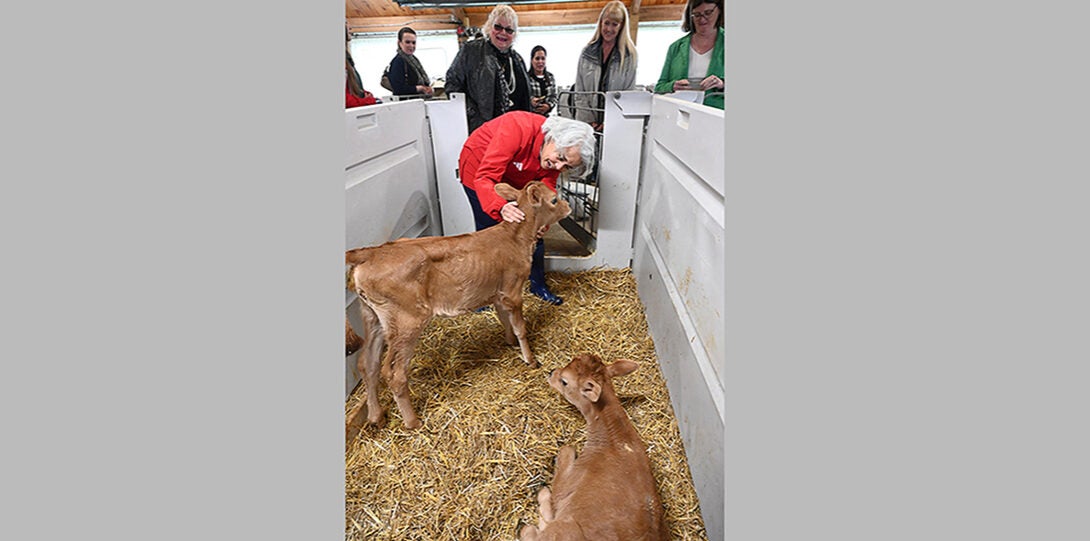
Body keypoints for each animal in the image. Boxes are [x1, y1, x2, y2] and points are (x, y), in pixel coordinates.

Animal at [346, 182, 571, 436]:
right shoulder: (513, 291)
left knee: (367, 364)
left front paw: (509, 341)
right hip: (407, 321)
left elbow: (504, 319)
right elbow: (521, 328)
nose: (568, 206)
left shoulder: (497, 293)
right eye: (554, 200)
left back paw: (376, 416)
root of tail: (373, 251)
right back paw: (413, 422)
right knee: (394, 373)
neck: (515, 238)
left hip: (372, 316)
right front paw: (530, 359)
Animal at [516, 355, 662, 541]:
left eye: (564, 381)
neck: (615, 436)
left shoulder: (567, 485)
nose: (551, 372)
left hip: (563, 529)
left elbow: (567, 451)